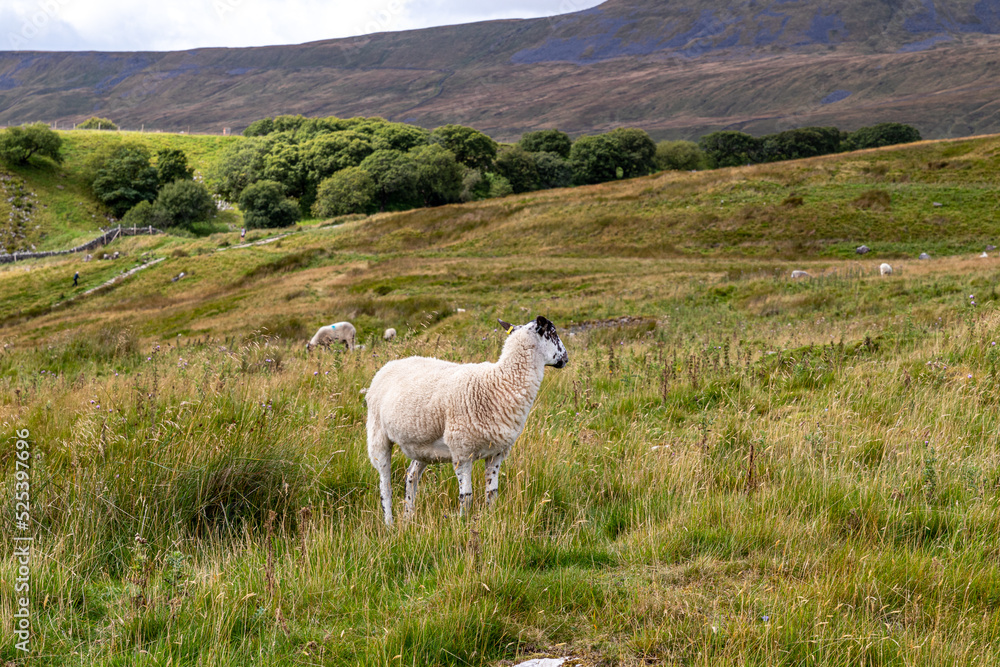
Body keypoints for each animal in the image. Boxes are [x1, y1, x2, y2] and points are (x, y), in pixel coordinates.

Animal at [365, 315, 569, 526]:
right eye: (553, 332)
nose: (566, 358)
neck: (501, 382)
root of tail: (388, 365)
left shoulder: (496, 453)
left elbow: (492, 493)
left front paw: (491, 519)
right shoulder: (462, 452)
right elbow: (467, 496)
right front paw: (463, 524)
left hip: (423, 446)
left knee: (411, 476)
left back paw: (408, 519)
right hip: (377, 435)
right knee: (385, 486)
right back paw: (389, 523)